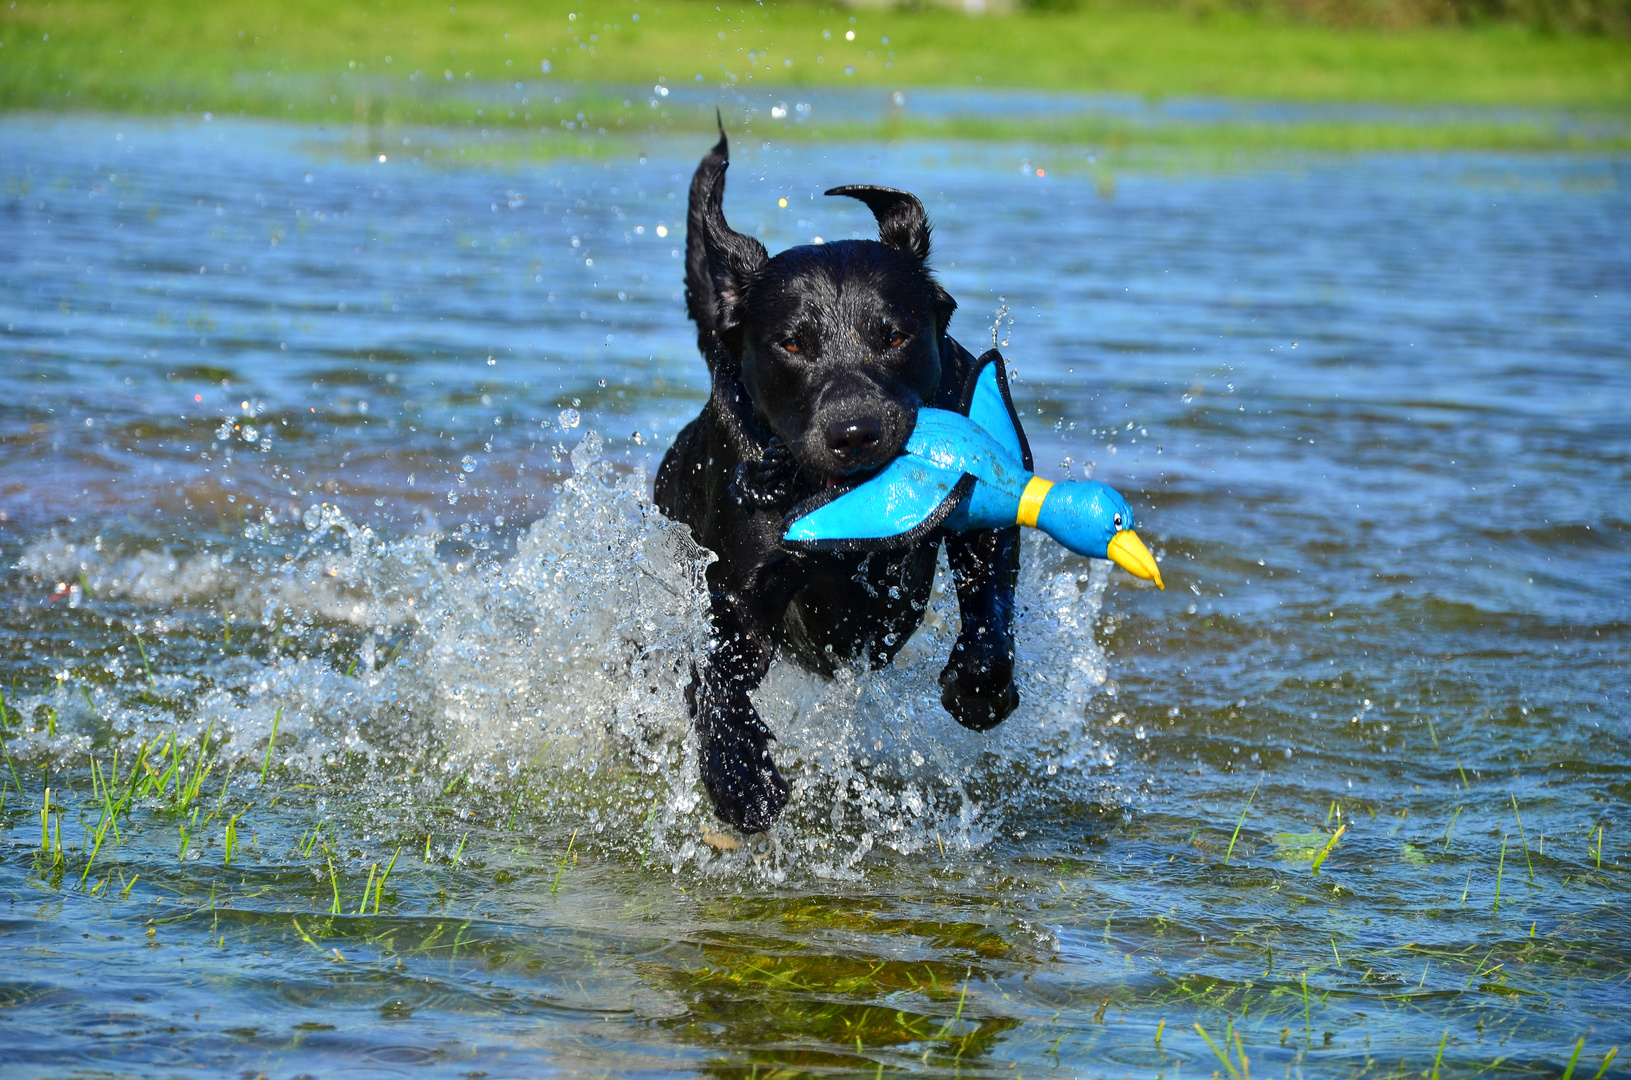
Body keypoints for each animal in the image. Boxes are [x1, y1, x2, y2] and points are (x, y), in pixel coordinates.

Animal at [655, 128, 1024, 835]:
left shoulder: (987, 516)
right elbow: (719, 678)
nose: (855, 433)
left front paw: (978, 687)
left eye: (896, 336)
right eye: (792, 345)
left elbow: (989, 593)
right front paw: (741, 779)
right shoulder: (743, 584)